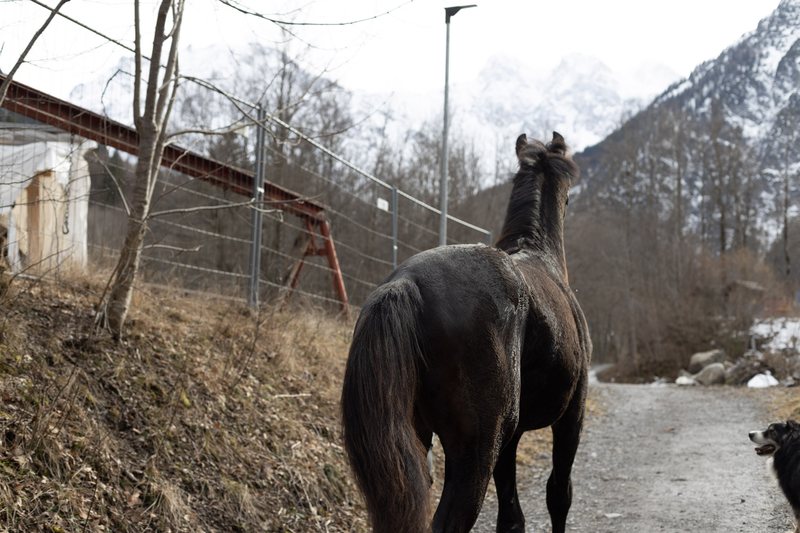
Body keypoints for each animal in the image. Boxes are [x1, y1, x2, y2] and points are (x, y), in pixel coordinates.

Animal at [341, 132, 591, 533]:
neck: (540, 256)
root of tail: (407, 281)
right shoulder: (572, 417)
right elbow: (558, 493)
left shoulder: (511, 438)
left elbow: (511, 515)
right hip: (475, 450)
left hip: (424, 441)